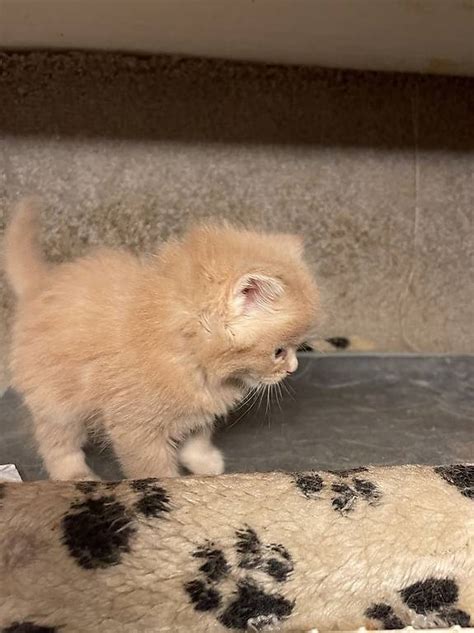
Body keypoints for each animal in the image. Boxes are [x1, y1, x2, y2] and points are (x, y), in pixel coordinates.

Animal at [4, 198, 318, 478]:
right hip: (57, 402)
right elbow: (151, 469)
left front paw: (204, 462)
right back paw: (75, 475)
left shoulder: (200, 407)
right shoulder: (135, 429)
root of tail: (39, 288)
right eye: (278, 352)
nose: (293, 369)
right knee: (56, 443)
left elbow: (198, 436)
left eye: (297, 348)